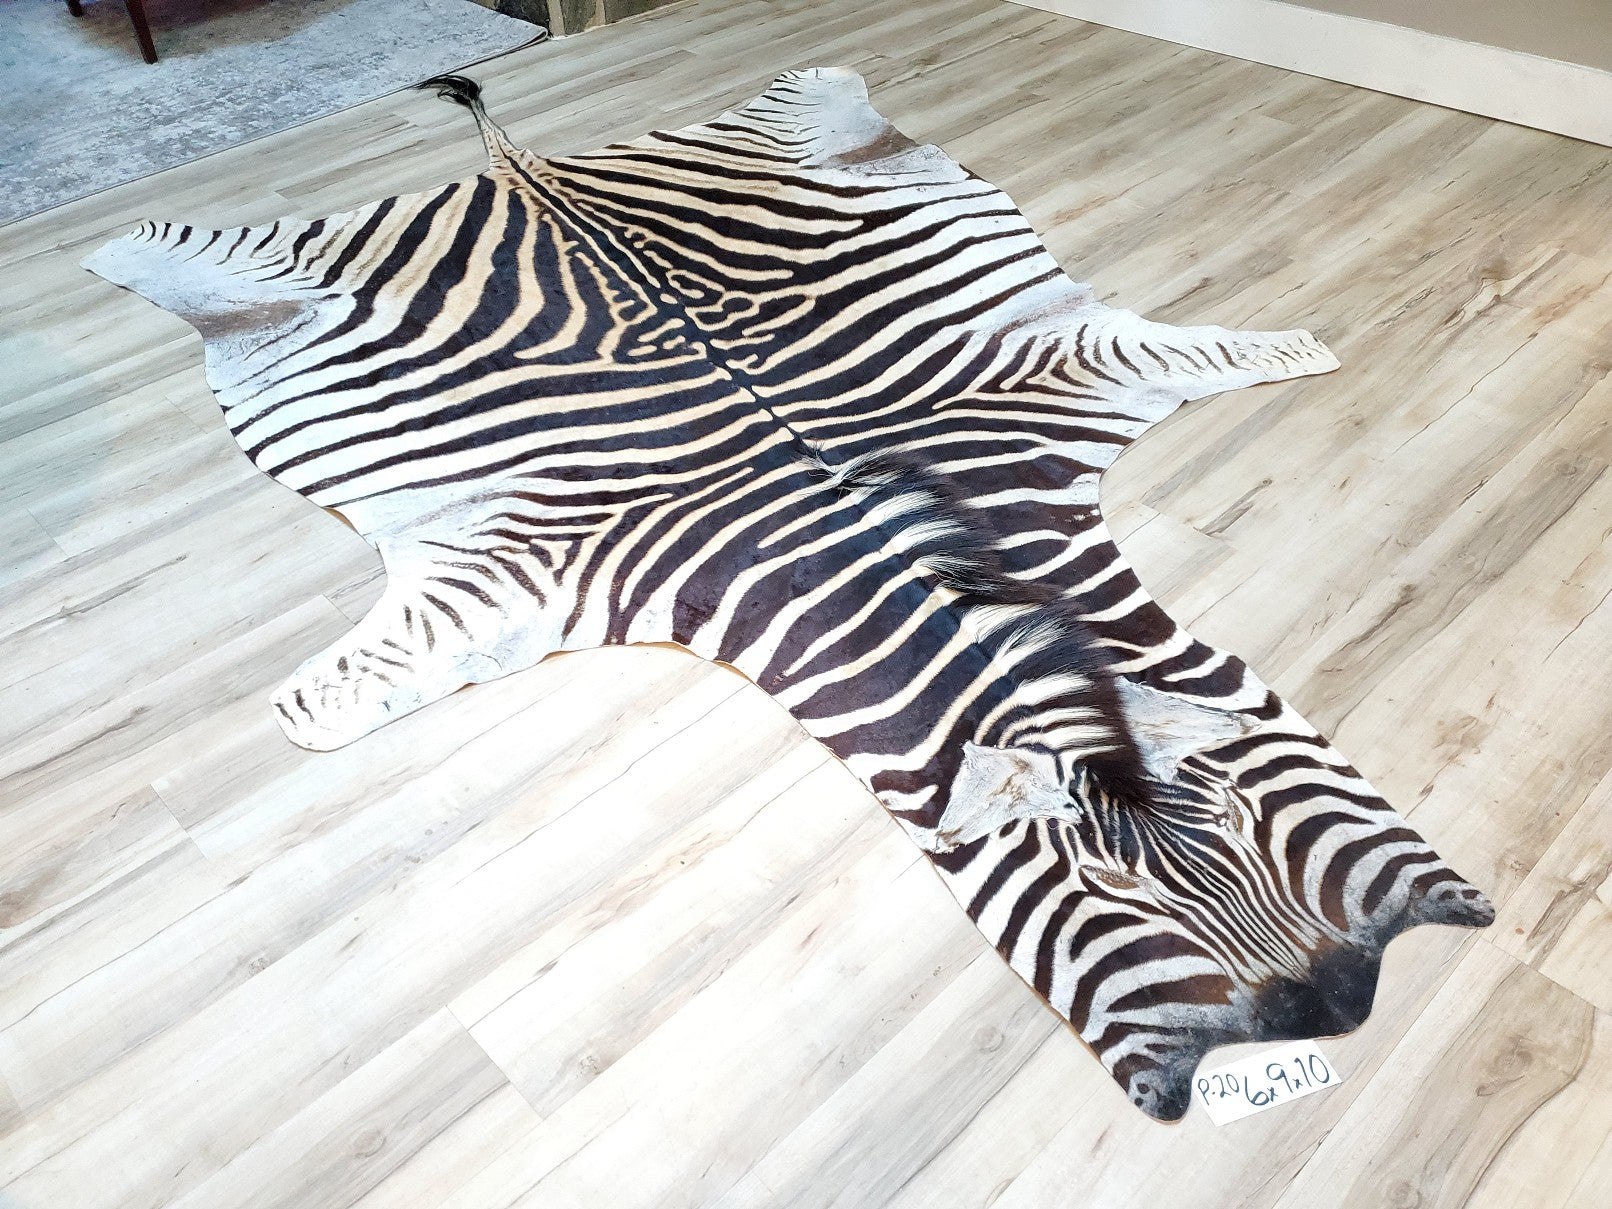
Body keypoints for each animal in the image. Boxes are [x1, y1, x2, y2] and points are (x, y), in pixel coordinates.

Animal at [83, 68, 1494, 1120]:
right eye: (1108, 902)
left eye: (1263, 826)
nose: (1334, 1018)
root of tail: (526, 169)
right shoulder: (531, 567)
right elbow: (349, 691)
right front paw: (299, 719)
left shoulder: (1062, 371)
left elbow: (1217, 349)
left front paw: (1298, 346)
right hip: (283, 267)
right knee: (186, 251)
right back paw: (115, 238)